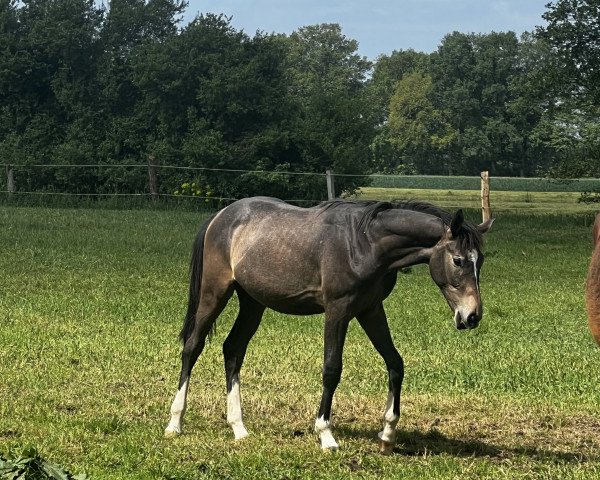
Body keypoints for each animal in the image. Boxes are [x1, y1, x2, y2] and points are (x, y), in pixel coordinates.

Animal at [163, 196, 492, 454]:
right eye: (459, 260)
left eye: (481, 261)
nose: (472, 316)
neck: (364, 243)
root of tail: (221, 216)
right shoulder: (338, 311)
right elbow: (332, 369)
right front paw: (326, 434)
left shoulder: (370, 310)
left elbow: (395, 364)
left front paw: (387, 435)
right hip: (214, 292)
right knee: (192, 347)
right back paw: (175, 423)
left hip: (253, 303)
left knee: (233, 349)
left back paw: (239, 428)